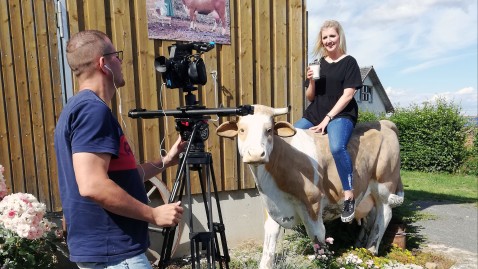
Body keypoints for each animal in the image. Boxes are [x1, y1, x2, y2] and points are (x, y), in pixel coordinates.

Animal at [217, 104, 404, 268]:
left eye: (269, 130)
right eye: (242, 130)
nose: (256, 154)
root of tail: (385, 123)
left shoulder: (312, 203)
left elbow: (317, 236)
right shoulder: (270, 205)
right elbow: (269, 241)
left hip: (384, 185)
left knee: (384, 215)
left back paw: (371, 249)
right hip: (367, 193)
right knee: (370, 217)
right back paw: (360, 248)